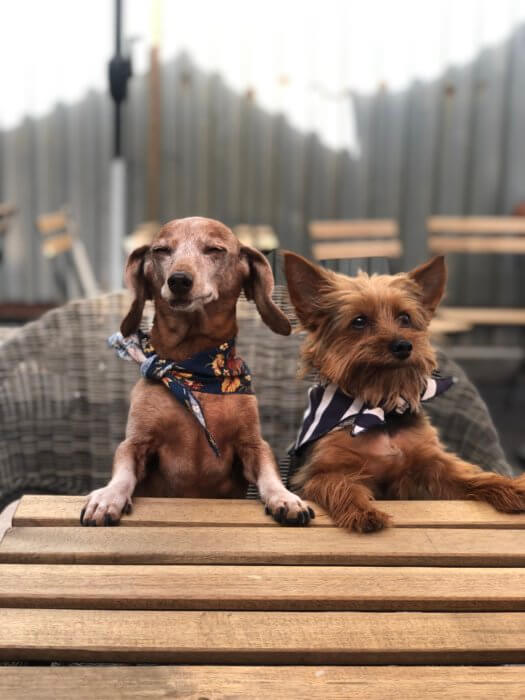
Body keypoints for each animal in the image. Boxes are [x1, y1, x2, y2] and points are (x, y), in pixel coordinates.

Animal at [80, 219, 314, 524]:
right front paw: (107, 497)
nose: (178, 280)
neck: (194, 373)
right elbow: (123, 472)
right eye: (161, 250)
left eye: (215, 249)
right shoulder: (135, 443)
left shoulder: (253, 445)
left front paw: (285, 498)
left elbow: (268, 474)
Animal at [284, 252, 524, 532]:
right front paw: (363, 511)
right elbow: (340, 484)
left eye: (405, 318)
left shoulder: (429, 462)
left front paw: (512, 488)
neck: (379, 408)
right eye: (359, 321)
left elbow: (470, 475)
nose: (403, 345)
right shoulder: (319, 472)